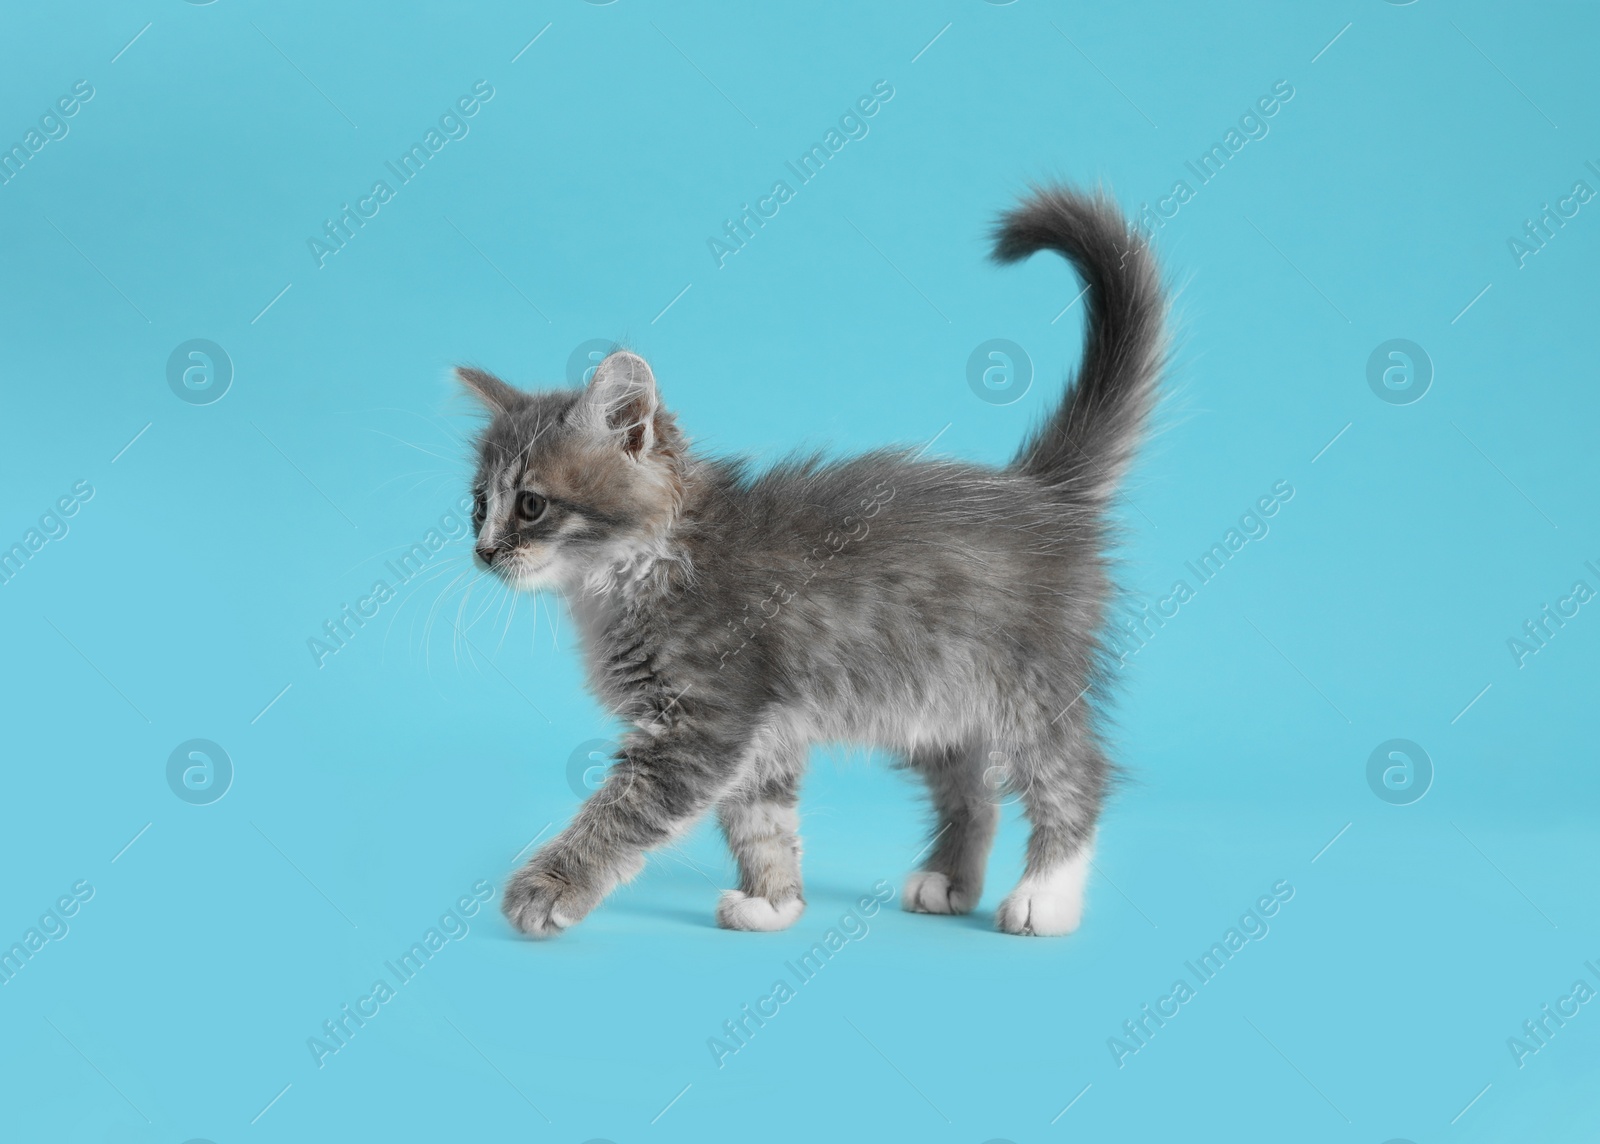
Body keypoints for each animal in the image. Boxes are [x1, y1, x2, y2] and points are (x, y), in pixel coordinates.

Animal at [464, 185, 1164, 940]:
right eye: (477, 506)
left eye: (530, 505)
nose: (483, 550)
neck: (641, 569)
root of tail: (1040, 491)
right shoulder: (761, 733)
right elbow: (762, 818)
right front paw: (774, 901)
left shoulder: (703, 720)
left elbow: (622, 812)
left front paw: (548, 888)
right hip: (934, 700)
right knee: (973, 789)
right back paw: (949, 879)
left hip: (1025, 685)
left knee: (1073, 774)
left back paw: (1045, 895)